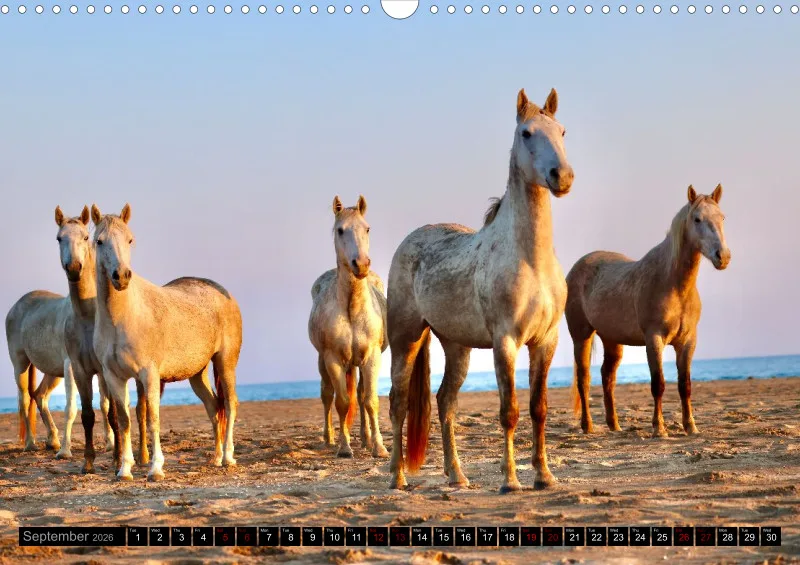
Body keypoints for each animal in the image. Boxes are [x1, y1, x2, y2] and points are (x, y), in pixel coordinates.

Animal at [5, 206, 113, 458]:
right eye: (58, 238)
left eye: (86, 237)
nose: (74, 268)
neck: (87, 316)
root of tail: (19, 304)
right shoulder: (72, 366)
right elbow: (71, 407)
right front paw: (65, 451)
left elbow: (104, 403)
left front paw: (111, 443)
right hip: (20, 364)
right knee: (25, 399)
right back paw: (32, 444)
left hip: (52, 371)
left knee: (40, 396)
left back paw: (52, 440)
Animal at [91, 203, 242, 481]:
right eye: (99, 241)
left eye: (130, 239)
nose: (122, 276)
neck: (124, 316)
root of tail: (222, 292)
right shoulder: (114, 377)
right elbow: (125, 420)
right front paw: (125, 469)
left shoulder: (149, 375)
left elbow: (153, 419)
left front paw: (155, 468)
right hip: (198, 373)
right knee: (213, 406)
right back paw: (215, 458)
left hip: (225, 363)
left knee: (229, 403)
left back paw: (228, 457)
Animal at [308, 195, 390, 459]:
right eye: (340, 230)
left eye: (367, 228)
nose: (361, 264)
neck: (352, 309)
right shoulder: (333, 359)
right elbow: (342, 402)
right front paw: (344, 448)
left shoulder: (372, 357)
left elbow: (370, 400)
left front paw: (379, 447)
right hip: (323, 361)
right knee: (326, 395)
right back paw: (329, 439)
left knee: (362, 396)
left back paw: (365, 439)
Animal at [386, 88, 574, 493]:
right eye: (526, 133)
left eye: (562, 131)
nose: (562, 177)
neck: (530, 259)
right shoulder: (506, 341)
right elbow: (509, 412)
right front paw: (510, 481)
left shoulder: (546, 341)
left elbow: (538, 409)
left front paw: (544, 476)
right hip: (405, 339)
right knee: (398, 401)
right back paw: (396, 477)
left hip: (457, 346)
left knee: (445, 401)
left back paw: (457, 475)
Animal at [565, 185, 730, 437]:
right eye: (697, 219)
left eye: (721, 217)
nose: (723, 256)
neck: (673, 284)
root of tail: (578, 267)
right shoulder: (654, 339)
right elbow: (658, 384)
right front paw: (659, 429)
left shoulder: (688, 342)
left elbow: (685, 385)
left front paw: (690, 426)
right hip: (581, 336)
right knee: (584, 379)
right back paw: (588, 425)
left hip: (612, 341)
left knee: (607, 377)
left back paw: (614, 425)